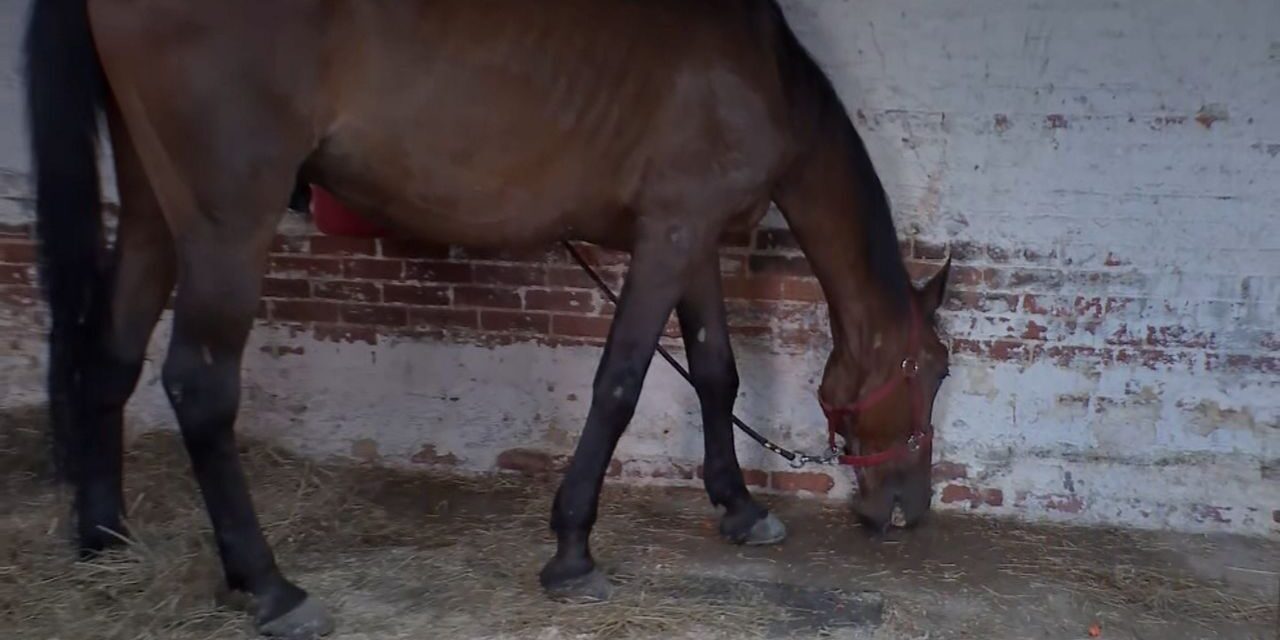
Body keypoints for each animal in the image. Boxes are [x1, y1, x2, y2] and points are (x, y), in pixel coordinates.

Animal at [24, 0, 952, 636]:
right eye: (935, 372)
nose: (910, 508)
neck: (759, 73)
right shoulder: (670, 238)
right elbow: (619, 385)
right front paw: (573, 552)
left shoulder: (690, 241)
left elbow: (716, 374)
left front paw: (740, 509)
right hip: (228, 220)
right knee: (199, 387)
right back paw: (273, 587)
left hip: (153, 206)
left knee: (111, 355)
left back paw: (104, 538)